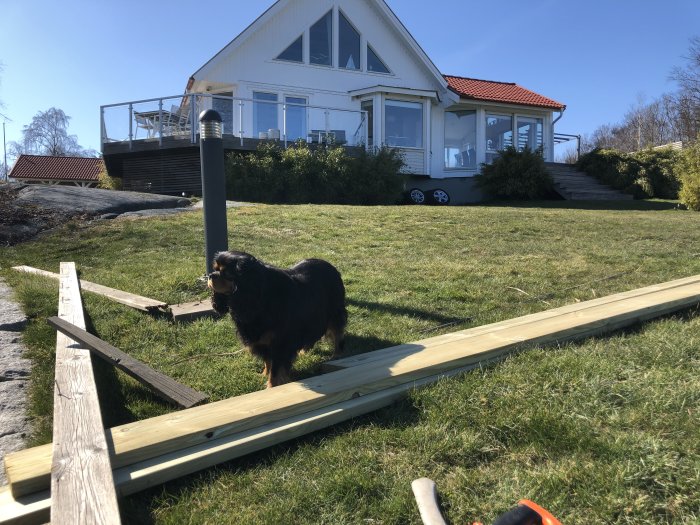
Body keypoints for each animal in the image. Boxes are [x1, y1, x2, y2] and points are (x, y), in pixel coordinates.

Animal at [208, 248, 350, 386]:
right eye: (215, 269)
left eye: (226, 273)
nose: (210, 275)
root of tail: (331, 266)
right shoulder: (263, 342)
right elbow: (268, 362)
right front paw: (264, 374)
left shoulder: (280, 344)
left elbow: (275, 371)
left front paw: (271, 387)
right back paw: (304, 351)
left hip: (334, 312)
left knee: (338, 333)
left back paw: (337, 355)